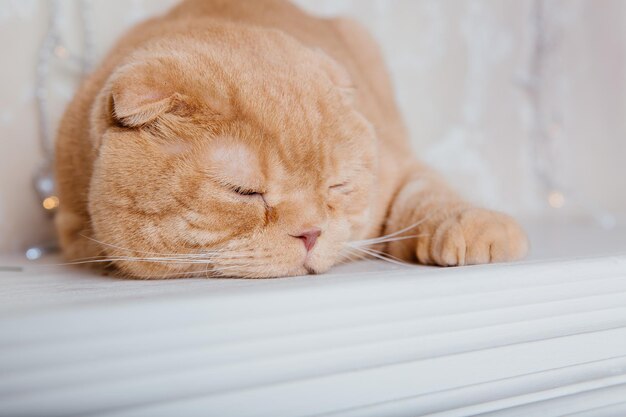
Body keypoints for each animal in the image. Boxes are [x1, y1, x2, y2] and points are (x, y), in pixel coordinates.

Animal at [53, 0, 528, 280]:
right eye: (244, 193)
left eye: (337, 186)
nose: (311, 234)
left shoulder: (402, 166)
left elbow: (427, 194)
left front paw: (476, 227)